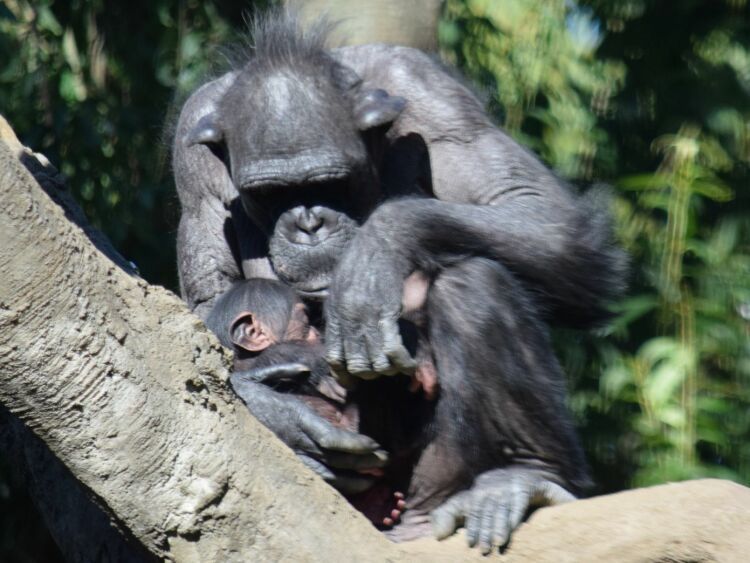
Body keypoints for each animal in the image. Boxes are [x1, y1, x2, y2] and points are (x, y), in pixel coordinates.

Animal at [173, 11, 624, 552]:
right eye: (271, 193)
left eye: (330, 183)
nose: (308, 222)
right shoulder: (191, 148)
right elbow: (205, 311)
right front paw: (277, 409)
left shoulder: (435, 98)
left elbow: (545, 218)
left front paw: (374, 257)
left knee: (474, 280)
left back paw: (524, 476)